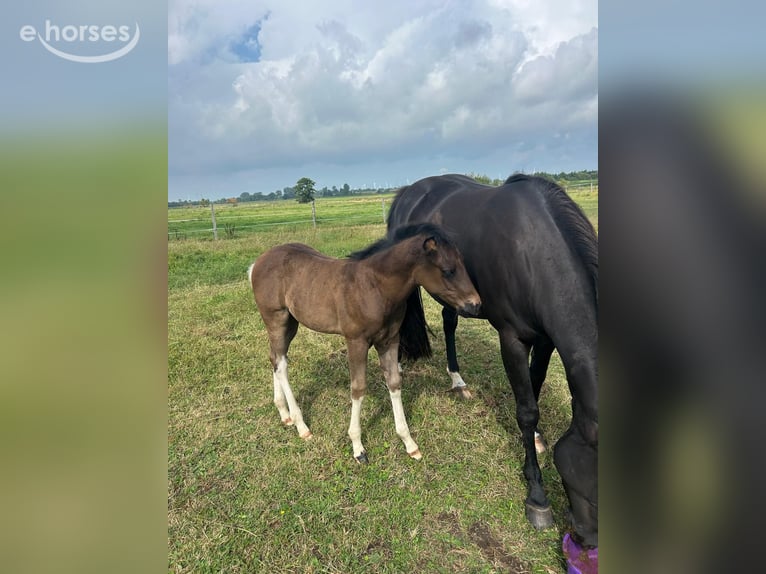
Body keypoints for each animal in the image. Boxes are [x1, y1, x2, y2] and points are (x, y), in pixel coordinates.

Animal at [248, 222, 481, 464]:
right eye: (448, 270)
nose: (475, 305)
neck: (374, 287)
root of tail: (258, 262)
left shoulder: (389, 340)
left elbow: (394, 382)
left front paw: (409, 443)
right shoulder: (356, 341)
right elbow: (358, 388)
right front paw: (358, 447)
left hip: (290, 322)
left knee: (275, 357)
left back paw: (284, 414)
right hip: (276, 318)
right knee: (281, 364)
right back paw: (301, 425)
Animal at [387, 174, 598, 548]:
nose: (587, 541)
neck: (534, 253)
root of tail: (408, 192)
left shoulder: (545, 340)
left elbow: (534, 387)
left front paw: (538, 438)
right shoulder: (511, 339)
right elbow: (526, 410)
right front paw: (537, 496)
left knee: (449, 321)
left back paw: (457, 380)